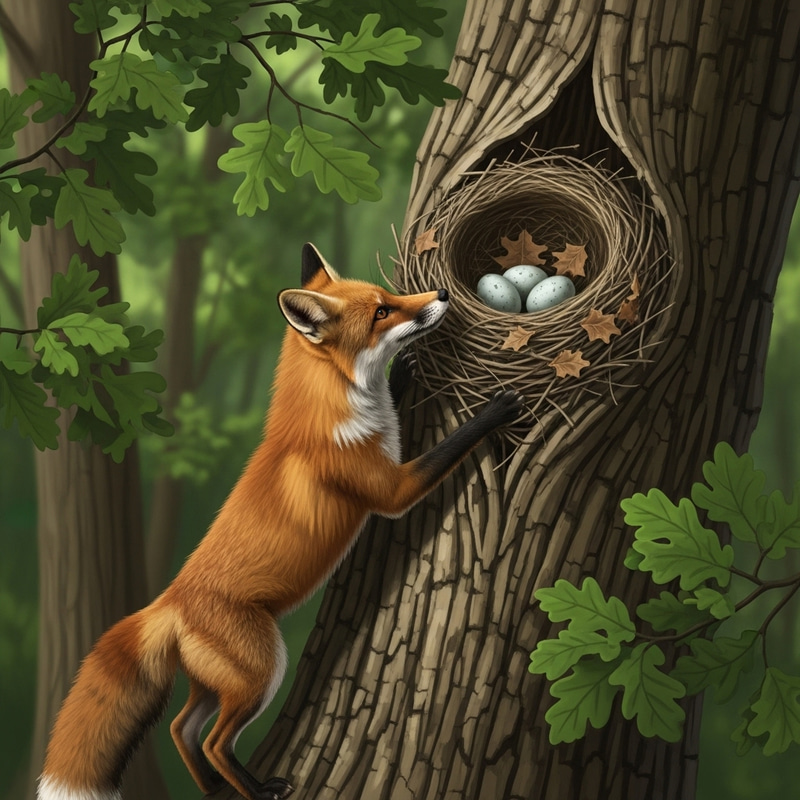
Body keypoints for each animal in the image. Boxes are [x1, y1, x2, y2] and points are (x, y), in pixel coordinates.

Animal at [37, 243, 522, 800]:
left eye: (390, 297)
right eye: (381, 312)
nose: (441, 293)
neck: (332, 411)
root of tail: (169, 601)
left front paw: (404, 373)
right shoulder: (393, 490)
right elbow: (453, 443)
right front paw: (495, 411)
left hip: (222, 683)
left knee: (182, 727)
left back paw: (214, 788)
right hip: (264, 671)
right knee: (214, 740)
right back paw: (256, 787)